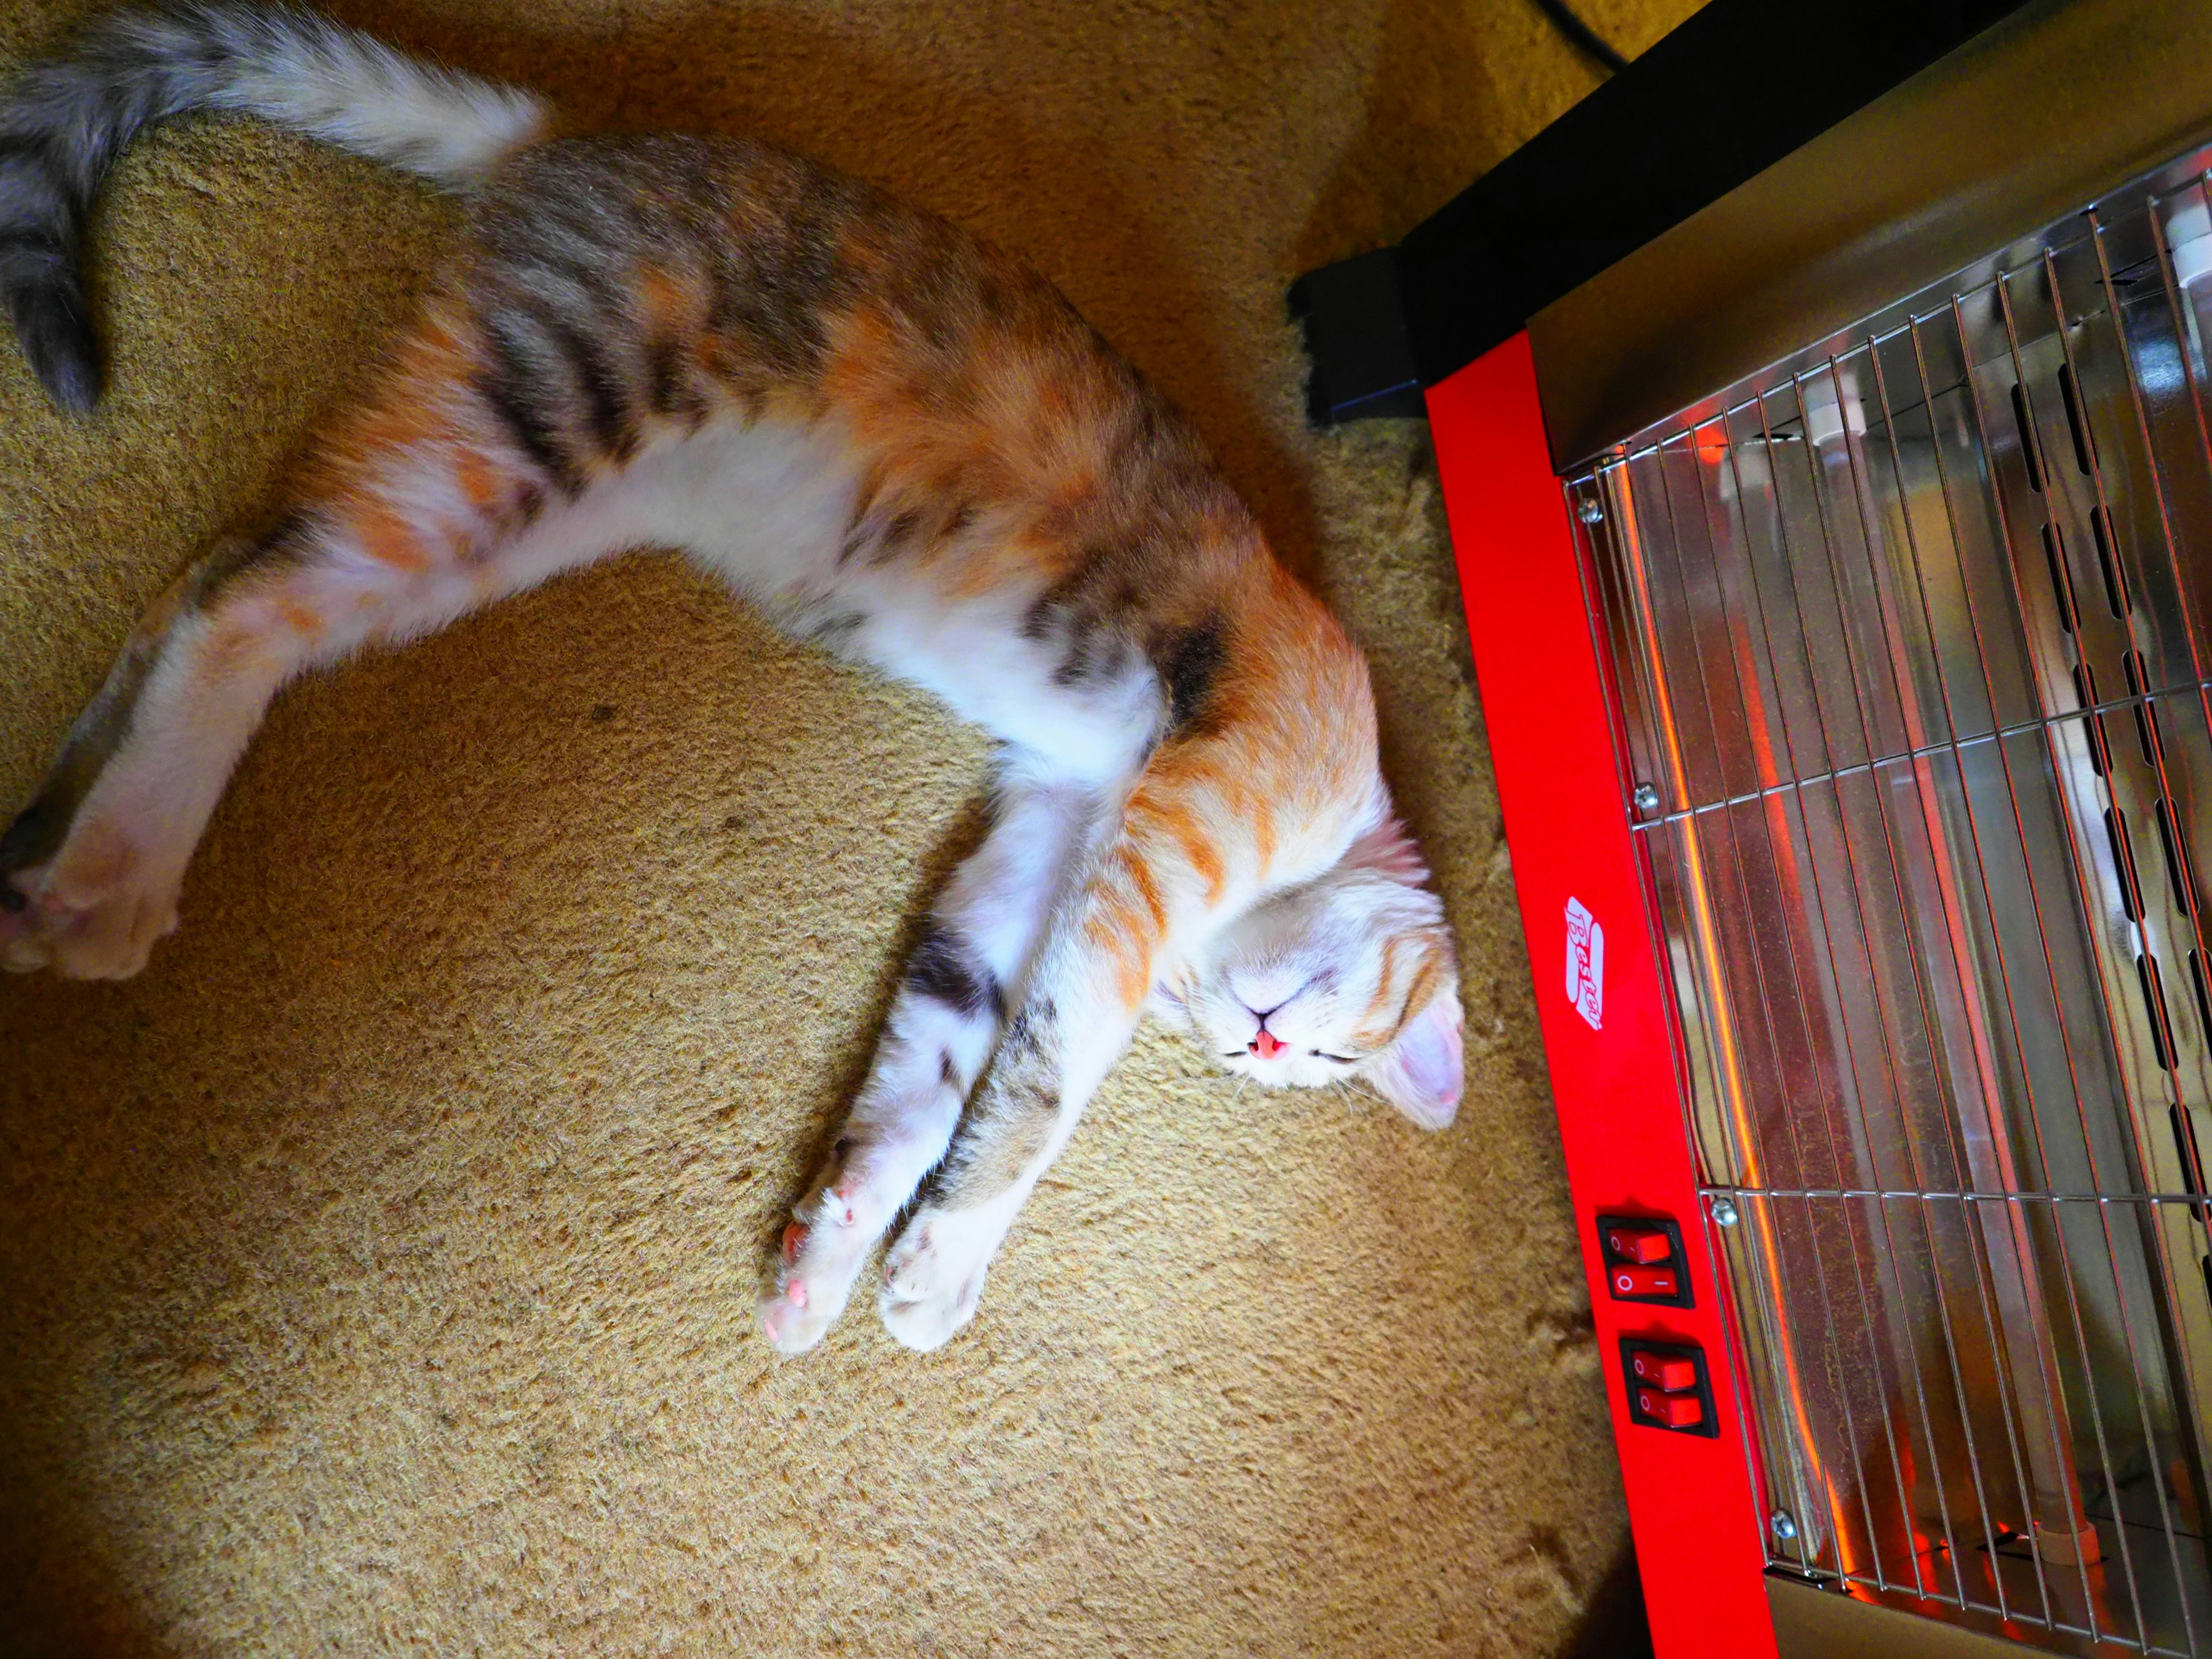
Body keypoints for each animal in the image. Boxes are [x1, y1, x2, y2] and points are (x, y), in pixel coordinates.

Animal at [0, 0, 1468, 1354]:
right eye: (1334, 1050)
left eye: (1289, 1060)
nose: (1257, 1043)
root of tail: (582, 141)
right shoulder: (1186, 811)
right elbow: (1048, 1085)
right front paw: (945, 1267)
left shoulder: (1051, 831)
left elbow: (944, 1045)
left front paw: (837, 1250)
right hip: (546, 416)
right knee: (240, 605)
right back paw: (115, 876)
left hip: (501, 519)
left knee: (216, 581)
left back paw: (53, 854)